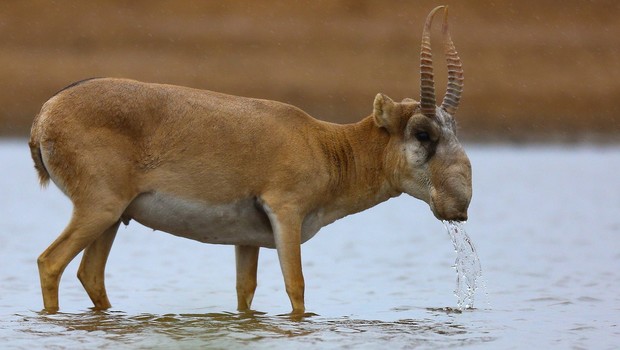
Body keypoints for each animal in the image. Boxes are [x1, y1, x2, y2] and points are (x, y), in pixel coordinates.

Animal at [30, 6, 470, 314]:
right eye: (423, 133)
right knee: (50, 263)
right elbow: (297, 287)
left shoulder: (246, 241)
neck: (324, 144)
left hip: (113, 218)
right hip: (99, 210)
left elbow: (245, 293)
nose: (460, 205)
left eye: (454, 128)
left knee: (90, 274)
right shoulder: (286, 214)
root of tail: (47, 112)